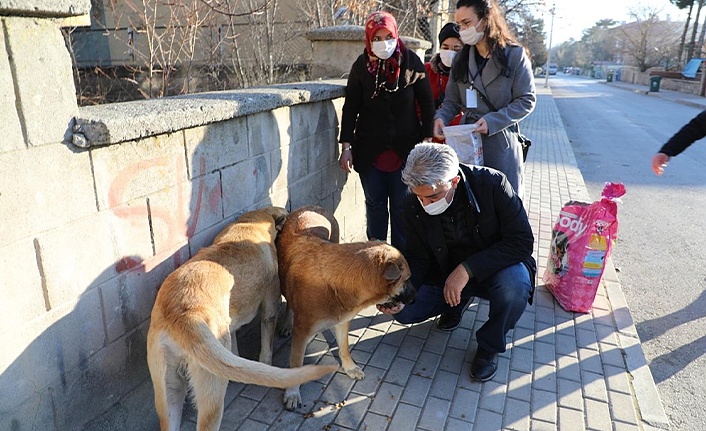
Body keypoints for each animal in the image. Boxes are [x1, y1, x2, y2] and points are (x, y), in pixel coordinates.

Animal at [145, 208, 336, 430]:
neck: (250, 222)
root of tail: (181, 315)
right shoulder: (270, 305)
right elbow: (266, 345)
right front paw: (266, 360)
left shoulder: (230, 324)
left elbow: (235, 344)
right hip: (211, 392)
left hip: (168, 395)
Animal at [276, 206, 418, 412]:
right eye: (407, 279)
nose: (415, 297)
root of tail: (313, 207)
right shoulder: (301, 332)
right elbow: (296, 363)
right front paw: (292, 393)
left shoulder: (342, 321)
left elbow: (344, 347)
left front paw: (349, 368)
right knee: (288, 301)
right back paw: (287, 323)